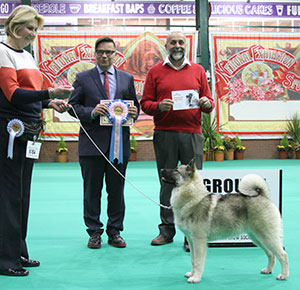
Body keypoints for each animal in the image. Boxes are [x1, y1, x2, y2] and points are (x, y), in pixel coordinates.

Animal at [161, 159, 290, 284]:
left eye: (176, 170)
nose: (161, 169)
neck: (192, 197)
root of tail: (263, 196)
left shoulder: (199, 241)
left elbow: (198, 262)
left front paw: (196, 278)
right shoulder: (191, 241)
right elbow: (193, 260)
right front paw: (192, 274)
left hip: (267, 237)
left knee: (283, 255)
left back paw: (283, 275)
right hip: (257, 238)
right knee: (271, 254)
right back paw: (268, 270)